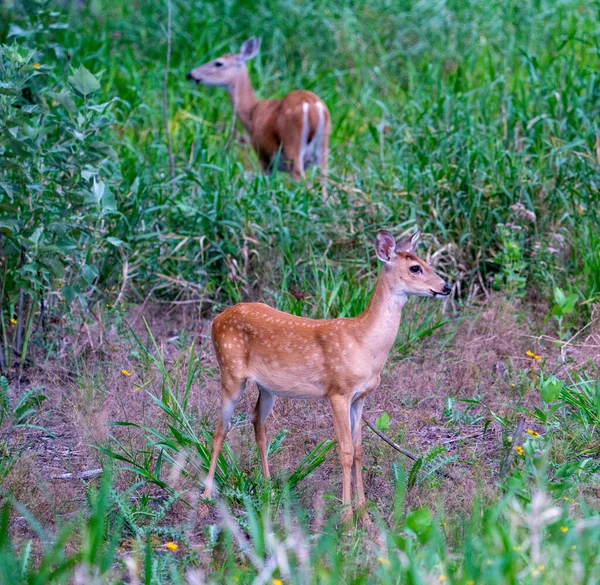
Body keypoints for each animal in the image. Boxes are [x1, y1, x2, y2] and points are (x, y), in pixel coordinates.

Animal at [186, 36, 330, 182]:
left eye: (218, 63)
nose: (190, 74)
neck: (252, 113)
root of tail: (313, 107)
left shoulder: (263, 157)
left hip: (292, 146)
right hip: (323, 150)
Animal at [202, 228, 450, 520]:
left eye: (426, 262)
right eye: (415, 267)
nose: (446, 287)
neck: (364, 343)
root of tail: (216, 319)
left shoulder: (360, 397)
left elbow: (359, 450)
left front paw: (364, 515)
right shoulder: (338, 392)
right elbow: (344, 451)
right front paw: (346, 518)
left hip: (267, 387)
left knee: (257, 423)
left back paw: (268, 488)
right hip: (230, 372)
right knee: (220, 428)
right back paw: (206, 497)